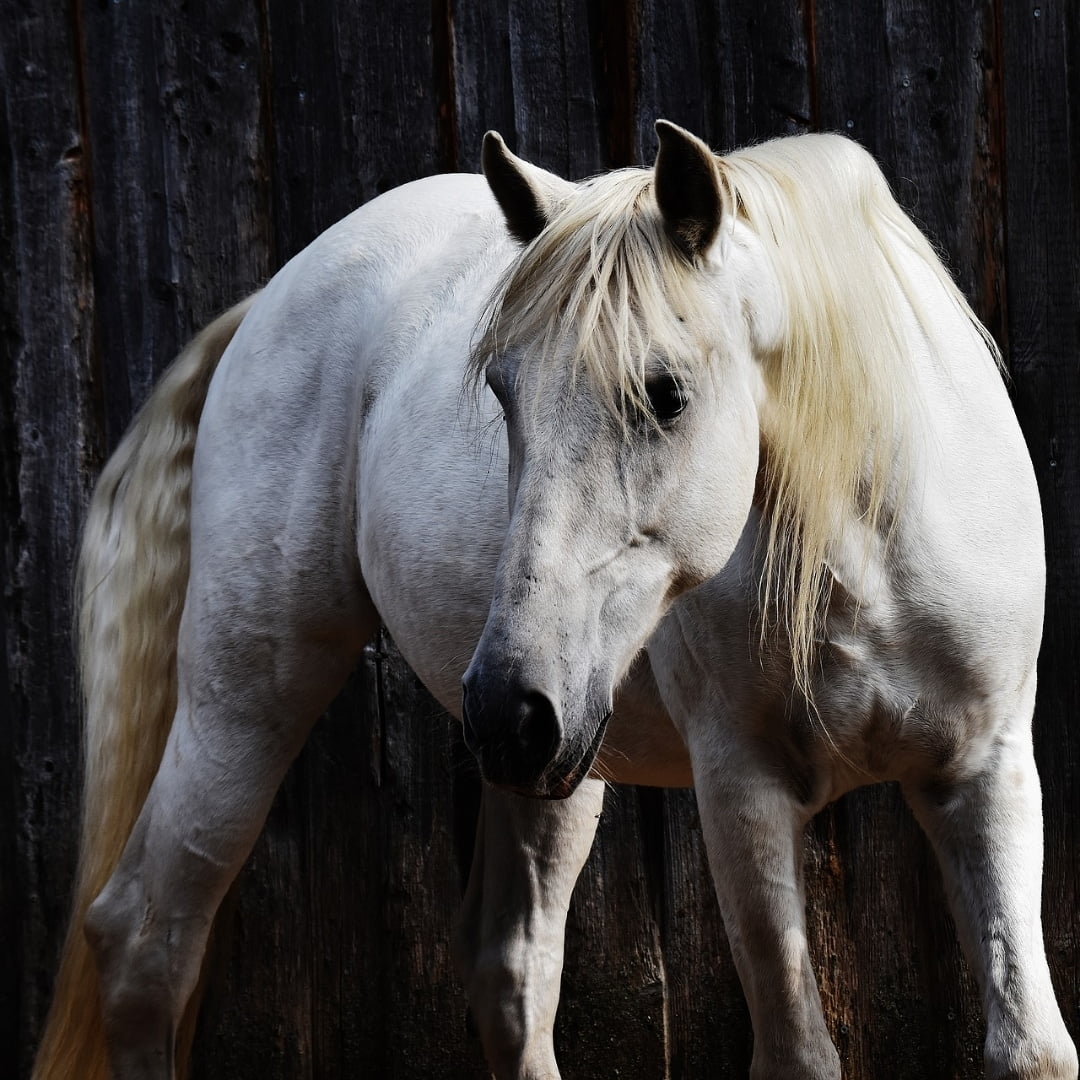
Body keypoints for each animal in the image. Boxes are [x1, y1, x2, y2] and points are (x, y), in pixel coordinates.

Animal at [38, 120, 1075, 1080]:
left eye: (666, 393)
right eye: (501, 391)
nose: (506, 706)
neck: (861, 554)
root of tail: (275, 295)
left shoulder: (985, 775)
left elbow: (1030, 1047)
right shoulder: (743, 792)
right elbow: (799, 1056)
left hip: (553, 763)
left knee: (511, 967)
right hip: (257, 694)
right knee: (145, 940)